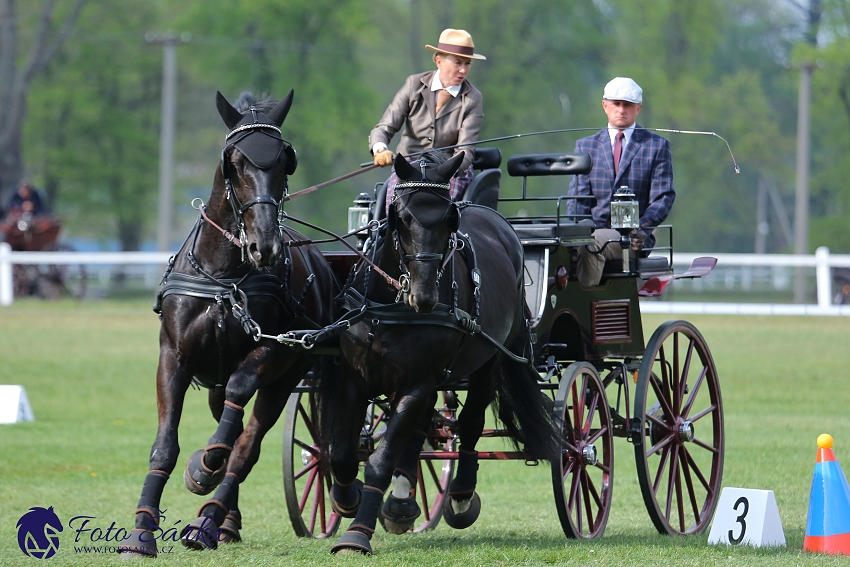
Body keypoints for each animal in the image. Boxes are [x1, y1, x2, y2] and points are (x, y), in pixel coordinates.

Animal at [117, 92, 334, 560]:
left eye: (285, 161)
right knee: (231, 426)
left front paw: (203, 468)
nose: (265, 245)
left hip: (285, 378)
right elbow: (165, 447)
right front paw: (141, 532)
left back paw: (209, 518)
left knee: (246, 443)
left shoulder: (274, 348)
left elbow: (237, 427)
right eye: (233, 161)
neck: (224, 275)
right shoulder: (173, 356)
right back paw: (224, 521)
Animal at [318, 151, 556, 556]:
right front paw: (347, 498)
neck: (390, 309)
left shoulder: (417, 381)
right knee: (420, 429)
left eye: (449, 219)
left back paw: (459, 495)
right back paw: (400, 503)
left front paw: (357, 533)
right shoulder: (353, 377)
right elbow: (343, 454)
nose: (424, 296)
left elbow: (380, 460)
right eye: (401, 216)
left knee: (471, 424)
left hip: (487, 363)